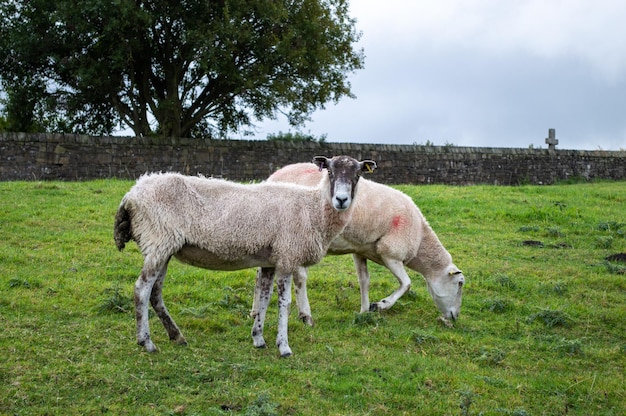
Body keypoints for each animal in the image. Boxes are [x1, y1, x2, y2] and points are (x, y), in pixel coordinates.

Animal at [113, 154, 376, 356]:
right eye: (330, 171)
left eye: (357, 175)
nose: (341, 200)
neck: (312, 209)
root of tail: (131, 194)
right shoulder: (287, 256)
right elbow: (284, 303)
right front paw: (283, 347)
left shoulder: (270, 260)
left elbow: (264, 299)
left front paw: (258, 338)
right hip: (158, 241)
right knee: (141, 289)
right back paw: (146, 342)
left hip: (163, 248)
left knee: (155, 293)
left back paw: (176, 335)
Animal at [250, 162, 464, 324]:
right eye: (460, 283)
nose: (455, 317)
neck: (420, 240)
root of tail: (271, 177)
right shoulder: (390, 251)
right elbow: (407, 283)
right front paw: (381, 305)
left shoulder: (361, 250)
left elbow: (364, 281)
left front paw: (364, 310)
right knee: (299, 276)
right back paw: (304, 314)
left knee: (261, 274)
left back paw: (255, 312)